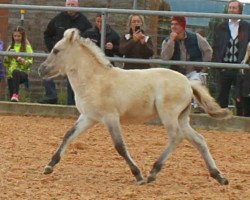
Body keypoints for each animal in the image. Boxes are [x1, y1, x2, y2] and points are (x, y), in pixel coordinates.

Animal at [38, 28, 231, 186]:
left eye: (56, 50)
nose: (42, 69)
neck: (95, 79)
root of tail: (188, 83)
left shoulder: (110, 117)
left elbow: (119, 146)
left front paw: (138, 175)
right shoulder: (88, 117)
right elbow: (68, 135)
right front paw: (49, 166)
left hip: (168, 115)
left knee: (176, 137)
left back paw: (153, 172)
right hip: (182, 118)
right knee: (199, 140)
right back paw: (219, 176)